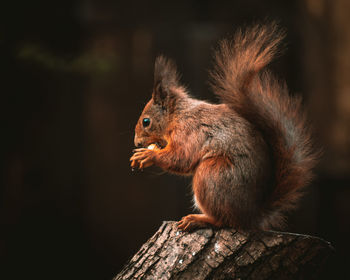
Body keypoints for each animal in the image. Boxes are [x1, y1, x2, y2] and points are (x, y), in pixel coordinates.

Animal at [129, 23, 318, 231]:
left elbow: (182, 158)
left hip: (212, 175)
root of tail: (251, 215)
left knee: (224, 220)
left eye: (146, 122)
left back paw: (199, 219)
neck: (177, 116)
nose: (137, 142)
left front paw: (148, 155)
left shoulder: (189, 131)